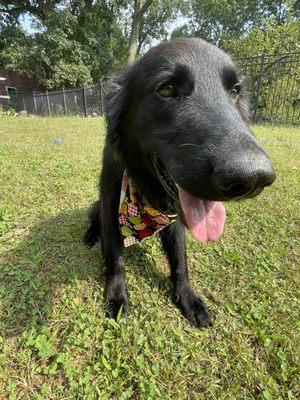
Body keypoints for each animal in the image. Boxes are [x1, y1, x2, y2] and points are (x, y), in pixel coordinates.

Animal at [84, 38, 274, 328]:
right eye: (166, 89)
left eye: (235, 91)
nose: (253, 178)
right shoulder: (111, 202)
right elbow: (115, 257)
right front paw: (116, 297)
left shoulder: (174, 220)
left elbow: (179, 260)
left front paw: (187, 297)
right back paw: (91, 235)